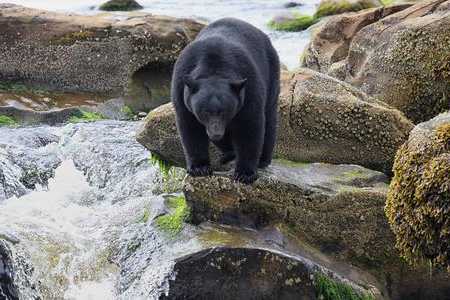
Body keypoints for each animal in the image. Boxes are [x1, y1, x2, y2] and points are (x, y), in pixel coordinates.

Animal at [171, 18, 280, 184]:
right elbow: (189, 126)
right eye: (204, 112)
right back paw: (228, 153)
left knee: (269, 118)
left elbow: (250, 125)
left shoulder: (249, 86)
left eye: (225, 111)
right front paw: (199, 168)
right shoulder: (181, 89)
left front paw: (245, 173)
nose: (216, 133)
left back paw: (263, 159)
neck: (214, 67)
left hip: (271, 72)